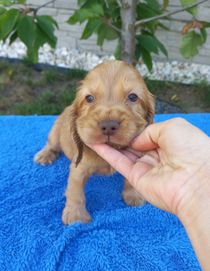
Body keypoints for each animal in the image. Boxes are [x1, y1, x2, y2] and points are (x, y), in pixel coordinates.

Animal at [34, 60, 154, 225]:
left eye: (133, 97)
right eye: (89, 98)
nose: (108, 125)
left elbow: (131, 177)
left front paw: (133, 195)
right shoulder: (78, 168)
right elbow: (75, 192)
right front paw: (76, 216)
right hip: (55, 132)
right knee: (51, 144)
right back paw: (45, 155)